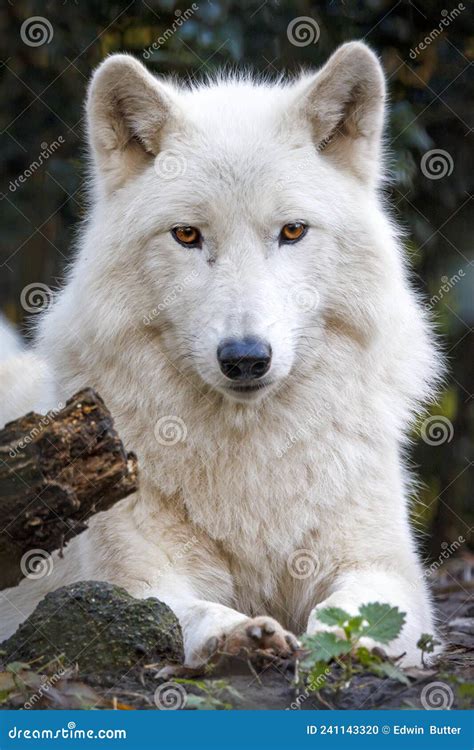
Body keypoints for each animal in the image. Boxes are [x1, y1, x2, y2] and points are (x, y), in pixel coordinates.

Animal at [0, 42, 440, 668]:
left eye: (292, 231)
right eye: (187, 235)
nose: (246, 358)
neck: (248, 455)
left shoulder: (387, 572)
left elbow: (355, 612)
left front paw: (332, 644)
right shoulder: (128, 581)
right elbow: (179, 613)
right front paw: (240, 635)